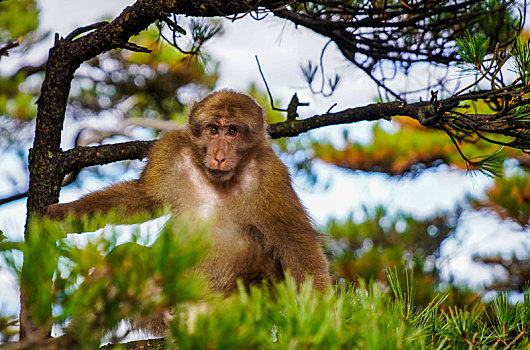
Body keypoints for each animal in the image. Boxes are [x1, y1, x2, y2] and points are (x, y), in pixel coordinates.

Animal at [48, 89, 330, 294]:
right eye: (213, 130)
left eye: (232, 132)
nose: (219, 156)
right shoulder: (169, 149)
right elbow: (142, 199)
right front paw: (65, 214)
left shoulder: (272, 174)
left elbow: (293, 242)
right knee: (126, 255)